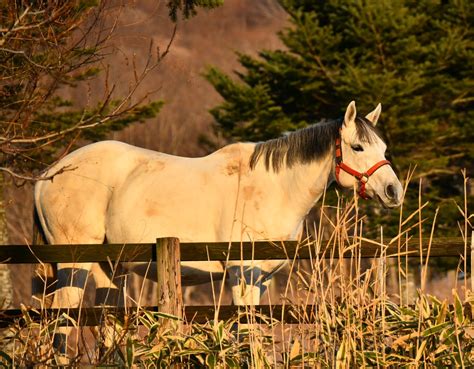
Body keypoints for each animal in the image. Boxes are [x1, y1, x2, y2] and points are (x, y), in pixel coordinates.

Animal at [34, 99, 404, 350]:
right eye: (357, 147)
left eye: (384, 147)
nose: (393, 191)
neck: (275, 187)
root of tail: (47, 175)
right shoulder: (242, 275)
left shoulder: (261, 280)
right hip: (74, 264)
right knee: (62, 327)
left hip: (110, 269)